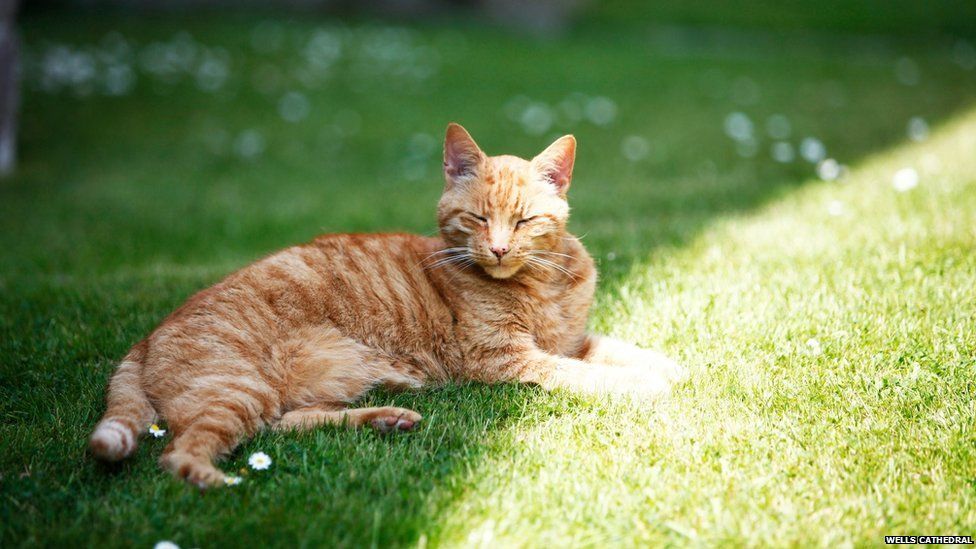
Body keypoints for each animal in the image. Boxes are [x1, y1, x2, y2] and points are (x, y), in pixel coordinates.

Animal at [91, 122, 688, 486]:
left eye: (523, 221)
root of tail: (145, 337)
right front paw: (644, 385)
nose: (498, 248)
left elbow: (620, 349)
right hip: (238, 387)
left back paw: (388, 419)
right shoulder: (506, 359)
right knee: (181, 454)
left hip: (306, 385)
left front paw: (672, 367)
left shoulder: (572, 339)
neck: (540, 285)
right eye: (477, 218)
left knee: (286, 424)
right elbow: (584, 375)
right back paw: (221, 481)